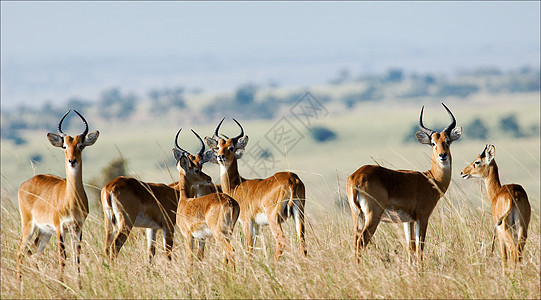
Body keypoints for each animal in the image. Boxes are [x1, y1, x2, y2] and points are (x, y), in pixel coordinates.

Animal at [16, 110, 99, 284]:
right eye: (64, 146)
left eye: (80, 146)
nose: (72, 161)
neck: (71, 199)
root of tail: (25, 184)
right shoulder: (60, 228)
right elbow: (63, 258)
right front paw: (63, 285)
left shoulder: (77, 228)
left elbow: (76, 258)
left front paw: (79, 286)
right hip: (28, 226)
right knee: (20, 251)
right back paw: (19, 283)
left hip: (45, 232)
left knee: (33, 252)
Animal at [173, 129, 238, 268]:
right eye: (196, 169)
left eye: (199, 166)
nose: (208, 178)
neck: (185, 201)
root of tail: (230, 202)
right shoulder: (201, 238)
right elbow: (200, 257)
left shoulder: (188, 236)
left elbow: (190, 260)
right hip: (228, 232)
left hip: (219, 233)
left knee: (230, 250)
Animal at [204, 118, 306, 262]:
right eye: (218, 147)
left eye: (231, 147)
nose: (220, 157)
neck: (236, 185)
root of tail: (292, 179)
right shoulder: (257, 225)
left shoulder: (247, 222)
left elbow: (249, 248)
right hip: (299, 212)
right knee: (302, 240)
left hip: (273, 218)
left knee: (281, 241)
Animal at [346, 103, 460, 262]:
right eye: (433, 143)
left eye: (447, 141)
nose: (442, 155)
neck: (430, 179)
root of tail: (356, 177)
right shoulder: (423, 217)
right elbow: (420, 247)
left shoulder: (408, 221)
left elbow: (410, 247)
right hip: (372, 216)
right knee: (361, 242)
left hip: (357, 216)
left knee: (355, 241)